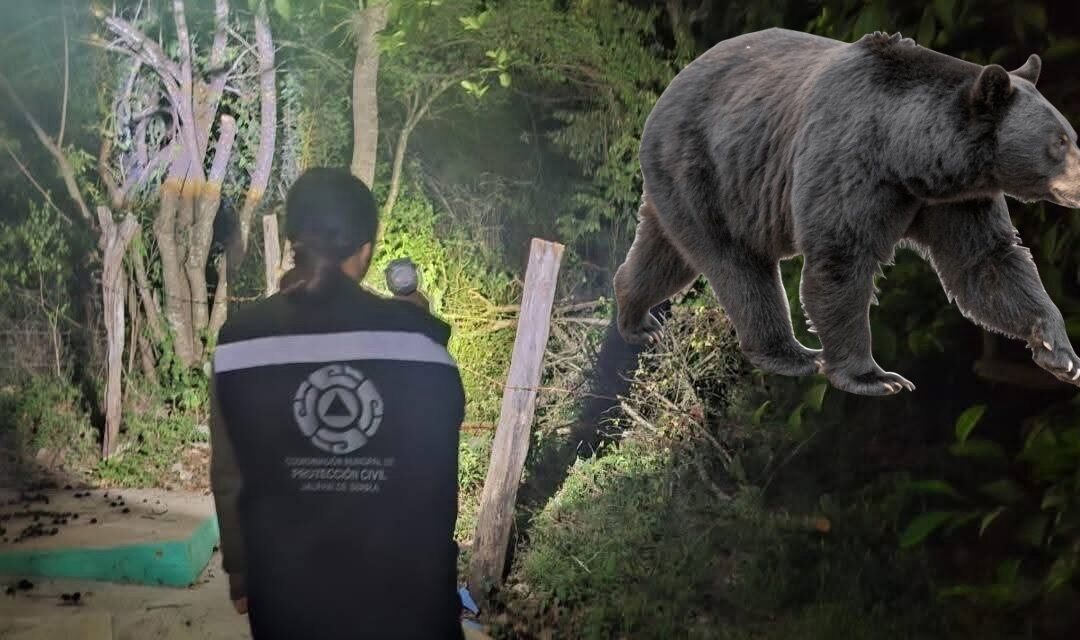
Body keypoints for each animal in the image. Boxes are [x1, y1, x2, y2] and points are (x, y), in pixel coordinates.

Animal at [613, 27, 1080, 396]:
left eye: (1071, 135)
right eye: (1058, 142)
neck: (911, 153)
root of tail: (663, 98)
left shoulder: (956, 201)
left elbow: (987, 262)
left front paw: (1059, 351)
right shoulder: (850, 160)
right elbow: (841, 259)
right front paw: (875, 376)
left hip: (682, 187)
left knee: (666, 255)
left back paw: (635, 316)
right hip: (707, 171)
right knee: (738, 266)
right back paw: (791, 354)